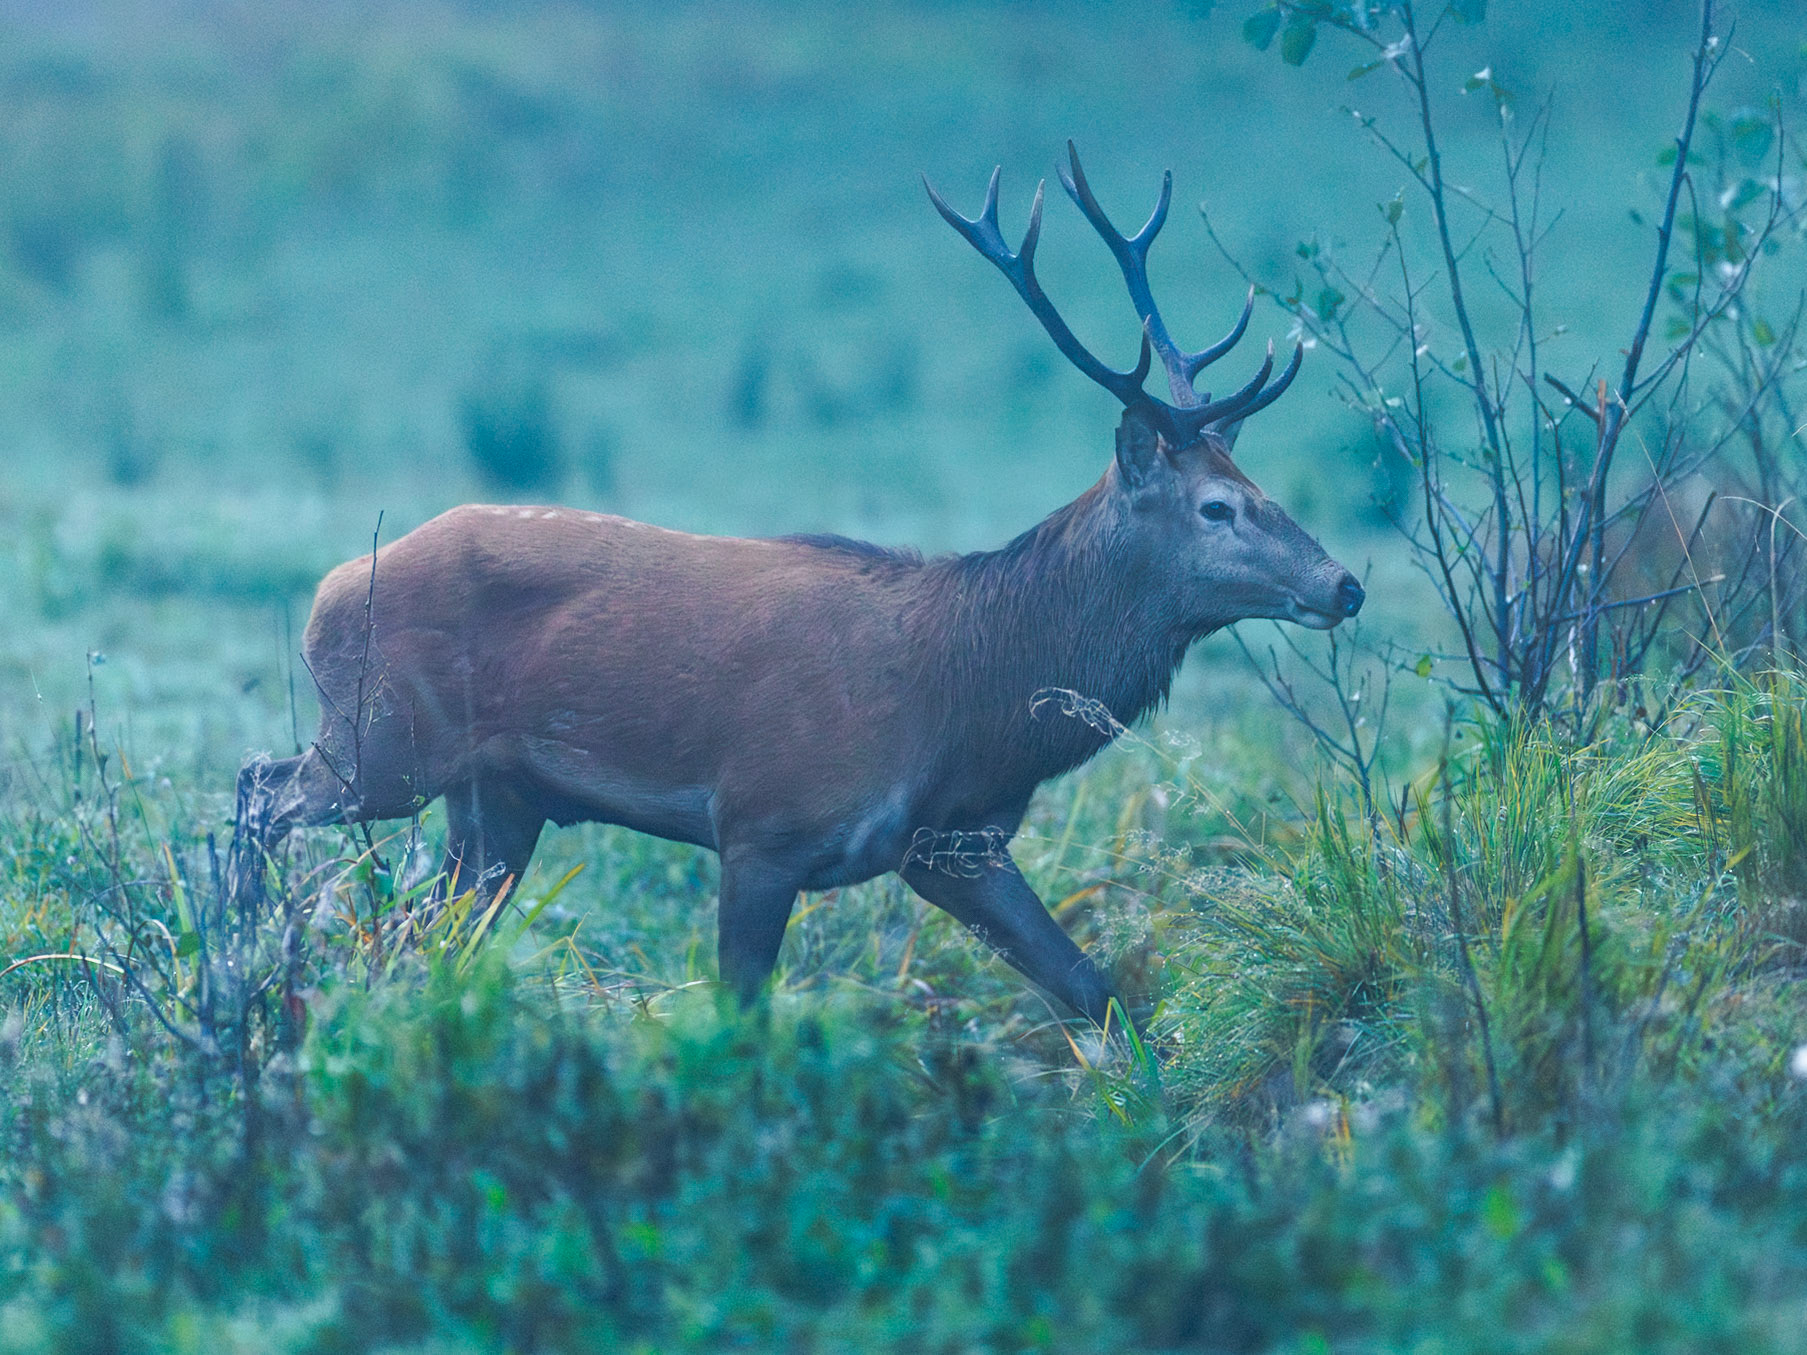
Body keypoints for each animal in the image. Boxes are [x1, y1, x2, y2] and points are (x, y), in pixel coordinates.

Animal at [233, 144, 1363, 1030]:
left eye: (1257, 485)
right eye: (1215, 507)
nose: (1344, 583)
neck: (967, 698)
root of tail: (328, 590)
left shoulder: (952, 844)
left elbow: (1097, 988)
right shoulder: (765, 821)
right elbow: (740, 1006)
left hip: (496, 800)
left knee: (414, 935)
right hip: (385, 737)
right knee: (260, 789)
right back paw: (247, 968)